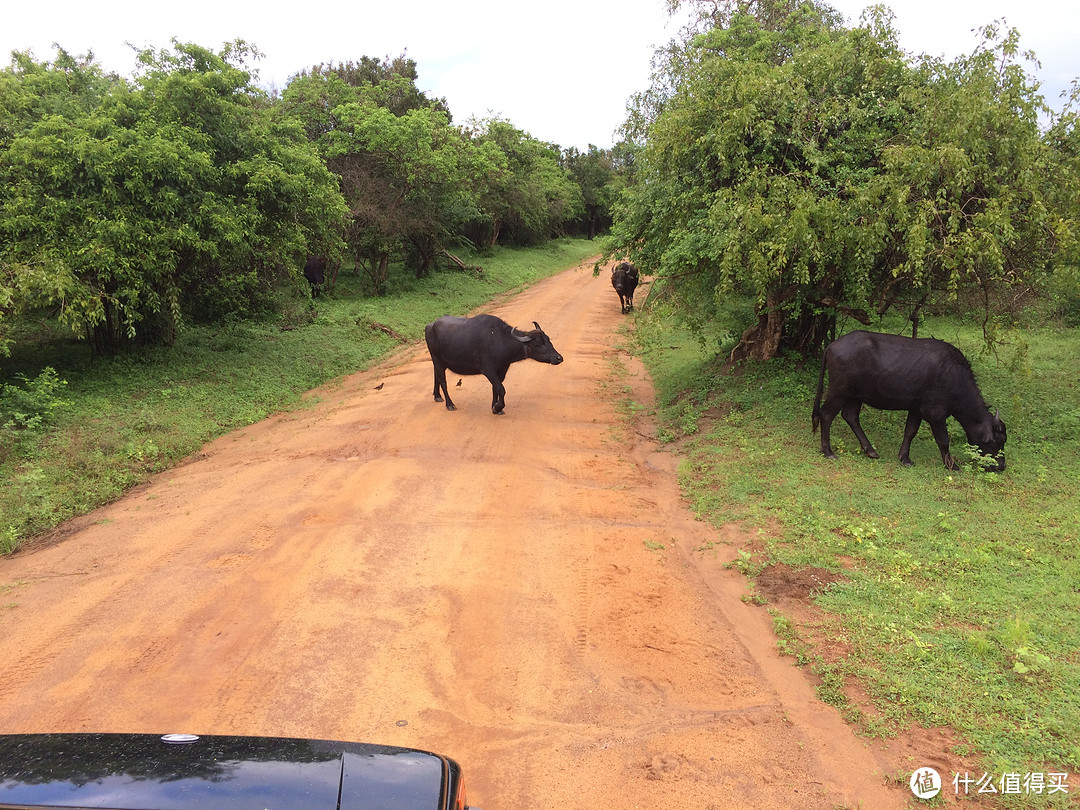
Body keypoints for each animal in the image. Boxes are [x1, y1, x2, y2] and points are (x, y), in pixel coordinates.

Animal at [423, 315, 565, 419]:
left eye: (548, 340)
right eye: (538, 343)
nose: (559, 358)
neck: (500, 341)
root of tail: (429, 326)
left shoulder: (501, 370)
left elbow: (495, 388)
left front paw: (494, 405)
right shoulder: (488, 370)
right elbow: (501, 389)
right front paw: (497, 408)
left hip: (439, 362)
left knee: (436, 375)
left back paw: (437, 396)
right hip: (437, 359)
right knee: (443, 381)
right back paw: (450, 404)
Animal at [812, 328, 1006, 473]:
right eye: (996, 442)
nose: (1001, 467)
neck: (954, 376)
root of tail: (832, 346)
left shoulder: (916, 408)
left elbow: (910, 431)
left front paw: (905, 458)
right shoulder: (935, 413)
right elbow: (943, 439)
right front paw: (952, 465)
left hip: (855, 396)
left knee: (850, 416)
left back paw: (870, 450)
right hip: (839, 391)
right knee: (826, 414)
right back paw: (828, 451)